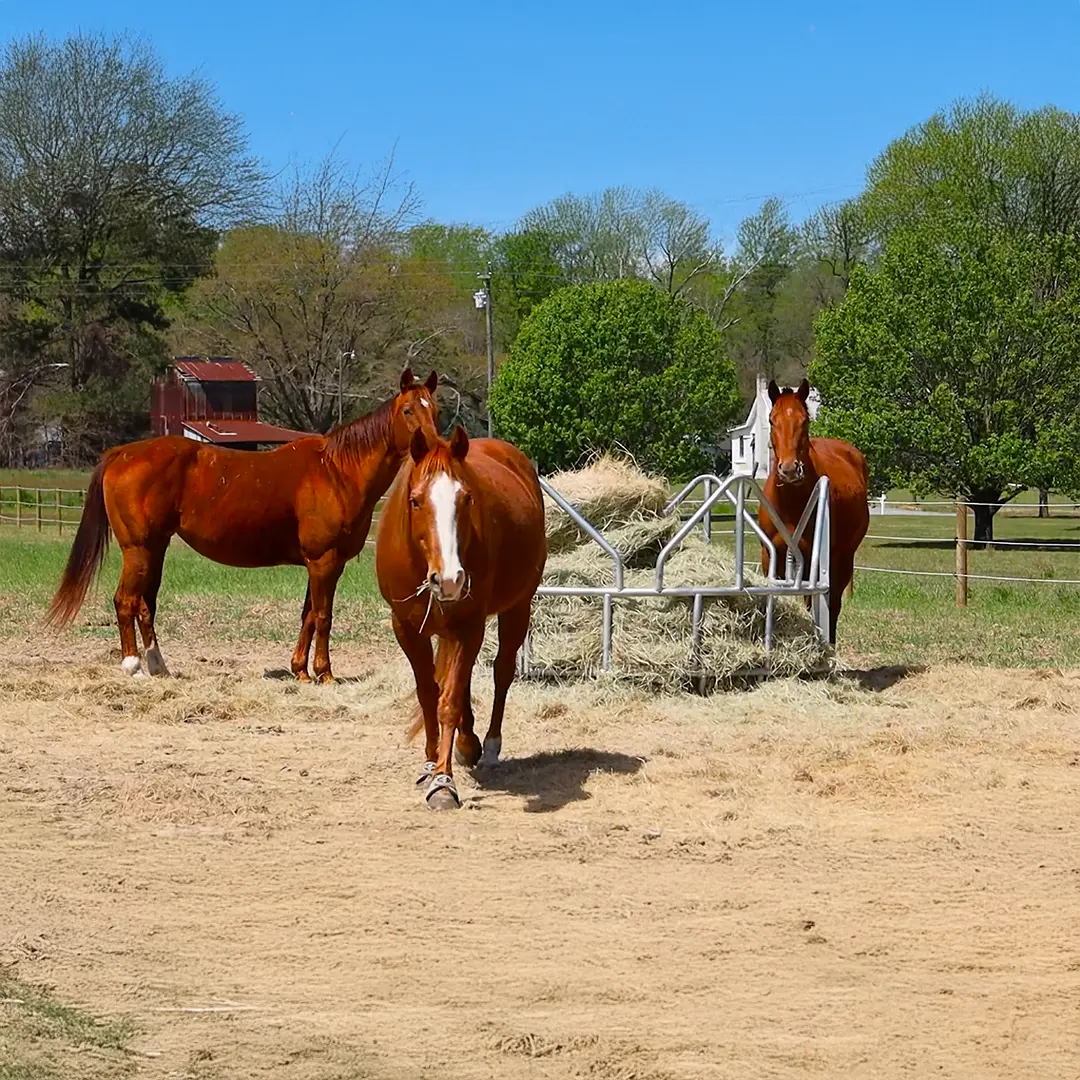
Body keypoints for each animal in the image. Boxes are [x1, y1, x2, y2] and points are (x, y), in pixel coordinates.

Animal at [47, 368, 441, 683]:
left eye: (434, 410)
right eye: (408, 410)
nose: (433, 446)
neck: (336, 471)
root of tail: (121, 454)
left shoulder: (321, 564)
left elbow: (307, 616)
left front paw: (300, 670)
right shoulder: (324, 562)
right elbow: (323, 616)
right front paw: (324, 673)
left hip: (155, 548)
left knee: (146, 604)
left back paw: (158, 666)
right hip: (137, 549)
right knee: (125, 601)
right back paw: (133, 666)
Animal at [375, 424, 546, 810]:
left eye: (467, 498)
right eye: (415, 500)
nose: (450, 578)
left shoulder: (469, 626)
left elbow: (448, 701)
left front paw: (443, 781)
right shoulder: (406, 628)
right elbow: (428, 695)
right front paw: (430, 763)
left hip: (517, 608)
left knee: (502, 672)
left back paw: (489, 747)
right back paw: (468, 745)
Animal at [759, 378, 869, 645]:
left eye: (804, 420)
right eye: (772, 420)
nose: (789, 469)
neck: (790, 503)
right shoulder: (770, 554)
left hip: (841, 558)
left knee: (833, 603)